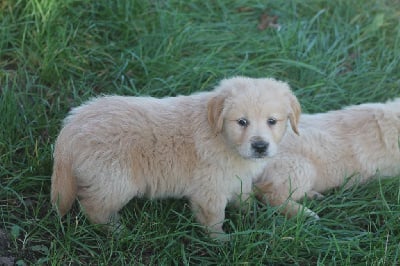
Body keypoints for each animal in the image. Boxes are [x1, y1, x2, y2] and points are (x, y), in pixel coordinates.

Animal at [50, 75, 300, 239]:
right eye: (242, 122)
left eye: (272, 121)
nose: (260, 146)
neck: (221, 136)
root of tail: (70, 128)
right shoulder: (210, 190)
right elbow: (214, 218)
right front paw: (221, 241)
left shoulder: (236, 179)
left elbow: (244, 196)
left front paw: (253, 214)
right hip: (115, 180)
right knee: (93, 207)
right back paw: (118, 231)